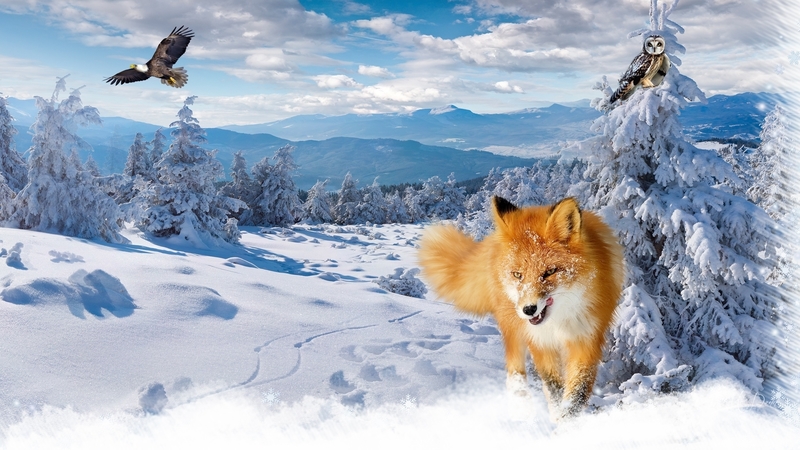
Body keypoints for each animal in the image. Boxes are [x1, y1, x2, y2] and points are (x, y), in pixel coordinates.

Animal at [418, 196, 624, 419]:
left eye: (549, 272)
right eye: (518, 275)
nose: (529, 310)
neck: (558, 321)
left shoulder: (586, 339)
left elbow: (576, 395)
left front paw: (566, 423)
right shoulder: (540, 341)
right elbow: (553, 388)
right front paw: (556, 419)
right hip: (512, 324)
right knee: (514, 367)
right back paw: (521, 403)